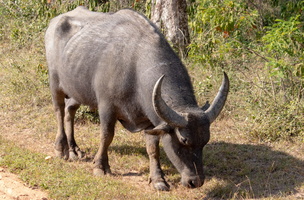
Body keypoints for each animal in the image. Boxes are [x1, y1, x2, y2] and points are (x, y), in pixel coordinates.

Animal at [45, 6, 229, 191]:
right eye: (184, 140)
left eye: (205, 140)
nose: (195, 181)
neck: (134, 70)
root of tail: (55, 22)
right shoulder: (106, 107)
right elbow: (106, 136)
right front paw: (100, 167)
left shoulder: (151, 118)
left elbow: (153, 147)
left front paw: (158, 179)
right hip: (55, 84)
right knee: (59, 111)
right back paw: (61, 148)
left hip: (77, 90)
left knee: (70, 110)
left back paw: (74, 150)